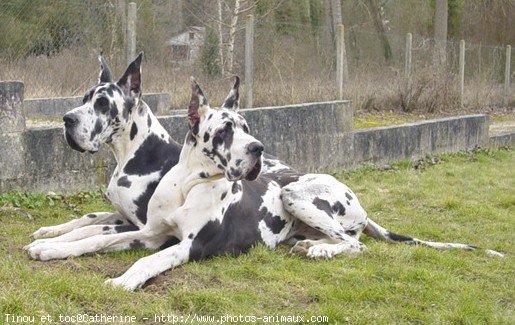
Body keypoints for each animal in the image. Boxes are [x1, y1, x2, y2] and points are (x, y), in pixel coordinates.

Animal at [25, 76, 504, 292]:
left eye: (248, 126)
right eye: (224, 129)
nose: (258, 148)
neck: (188, 184)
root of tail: (363, 208)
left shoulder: (182, 247)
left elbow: (146, 261)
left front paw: (123, 280)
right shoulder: (148, 231)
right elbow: (94, 237)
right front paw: (49, 247)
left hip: (294, 192)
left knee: (354, 244)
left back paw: (319, 249)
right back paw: (304, 243)